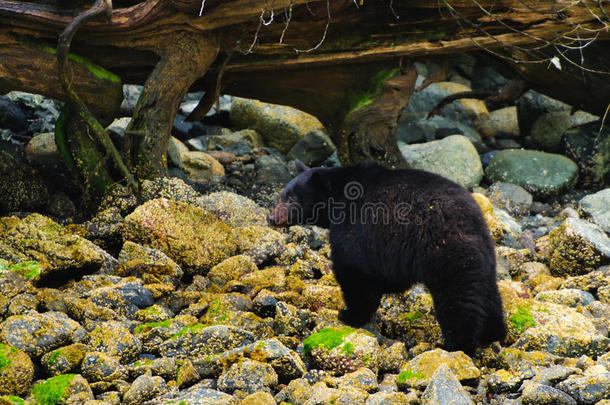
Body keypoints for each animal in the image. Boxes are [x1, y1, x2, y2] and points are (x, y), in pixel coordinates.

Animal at [270, 159, 504, 352]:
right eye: (282, 194)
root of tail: (472, 218)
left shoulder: (355, 226)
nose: (271, 217)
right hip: (483, 255)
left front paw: (350, 314)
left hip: (445, 250)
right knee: (488, 293)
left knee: (457, 299)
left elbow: (353, 271)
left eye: (291, 198)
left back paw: (456, 345)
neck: (334, 201)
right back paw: (493, 334)